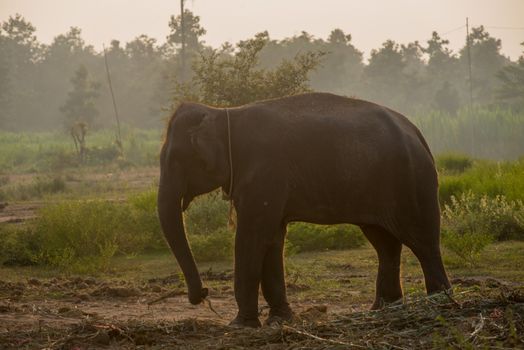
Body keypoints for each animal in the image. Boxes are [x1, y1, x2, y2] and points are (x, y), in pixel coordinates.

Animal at [158, 92, 452, 328]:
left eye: (175, 159)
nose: (203, 293)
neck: (223, 113)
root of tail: (417, 133)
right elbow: (272, 238)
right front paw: (279, 320)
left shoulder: (265, 174)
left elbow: (252, 236)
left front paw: (240, 325)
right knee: (385, 243)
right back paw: (382, 310)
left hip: (411, 183)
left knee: (422, 241)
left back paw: (440, 303)